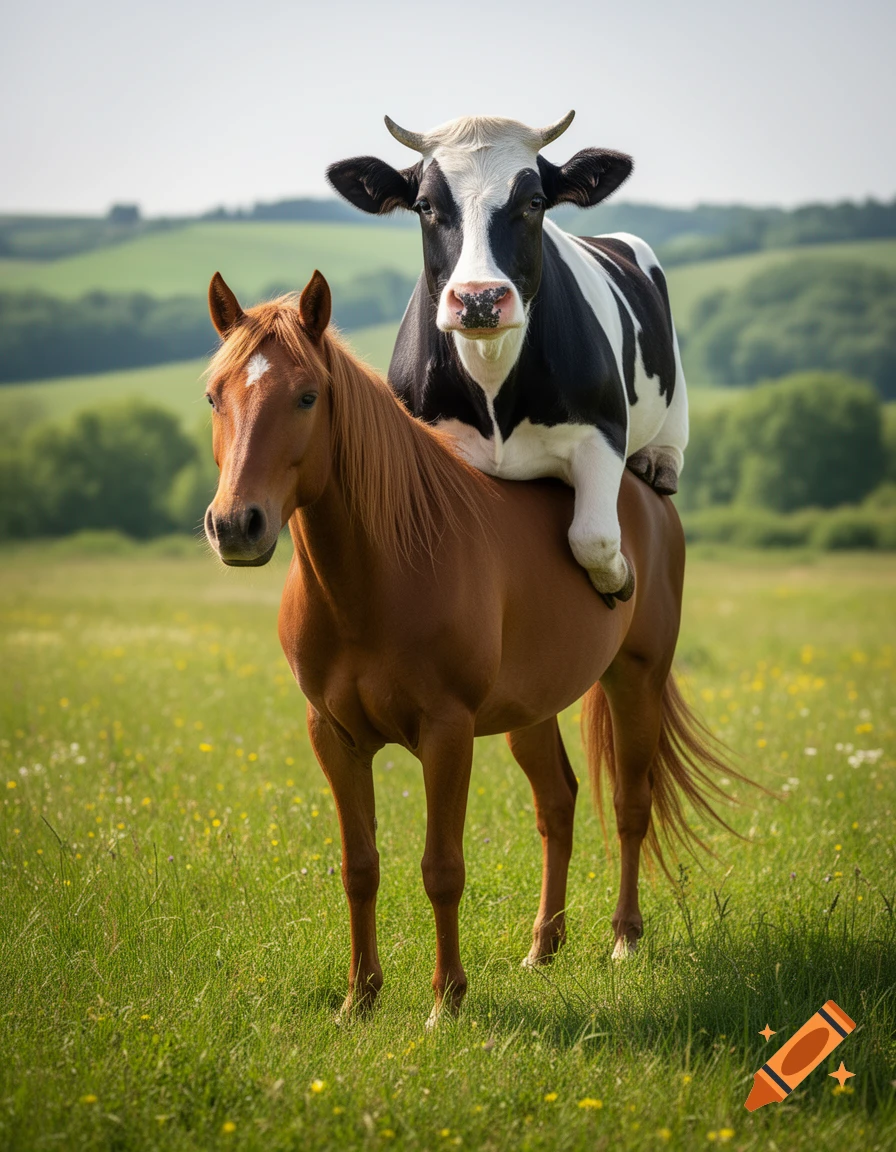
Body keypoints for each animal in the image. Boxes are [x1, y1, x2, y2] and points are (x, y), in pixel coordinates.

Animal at [202, 268, 746, 1024]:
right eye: (214, 396)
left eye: (307, 395)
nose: (236, 526)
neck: (378, 575)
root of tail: (647, 492)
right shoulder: (333, 736)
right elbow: (359, 866)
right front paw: (358, 1000)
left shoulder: (447, 733)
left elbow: (442, 868)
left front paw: (446, 1003)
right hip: (531, 710)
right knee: (558, 804)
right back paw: (543, 948)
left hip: (634, 682)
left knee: (630, 806)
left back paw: (624, 940)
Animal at [326, 111, 688, 605]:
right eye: (424, 205)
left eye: (534, 201)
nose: (479, 299)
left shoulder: (605, 430)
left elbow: (593, 536)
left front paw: (621, 579)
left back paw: (658, 463)